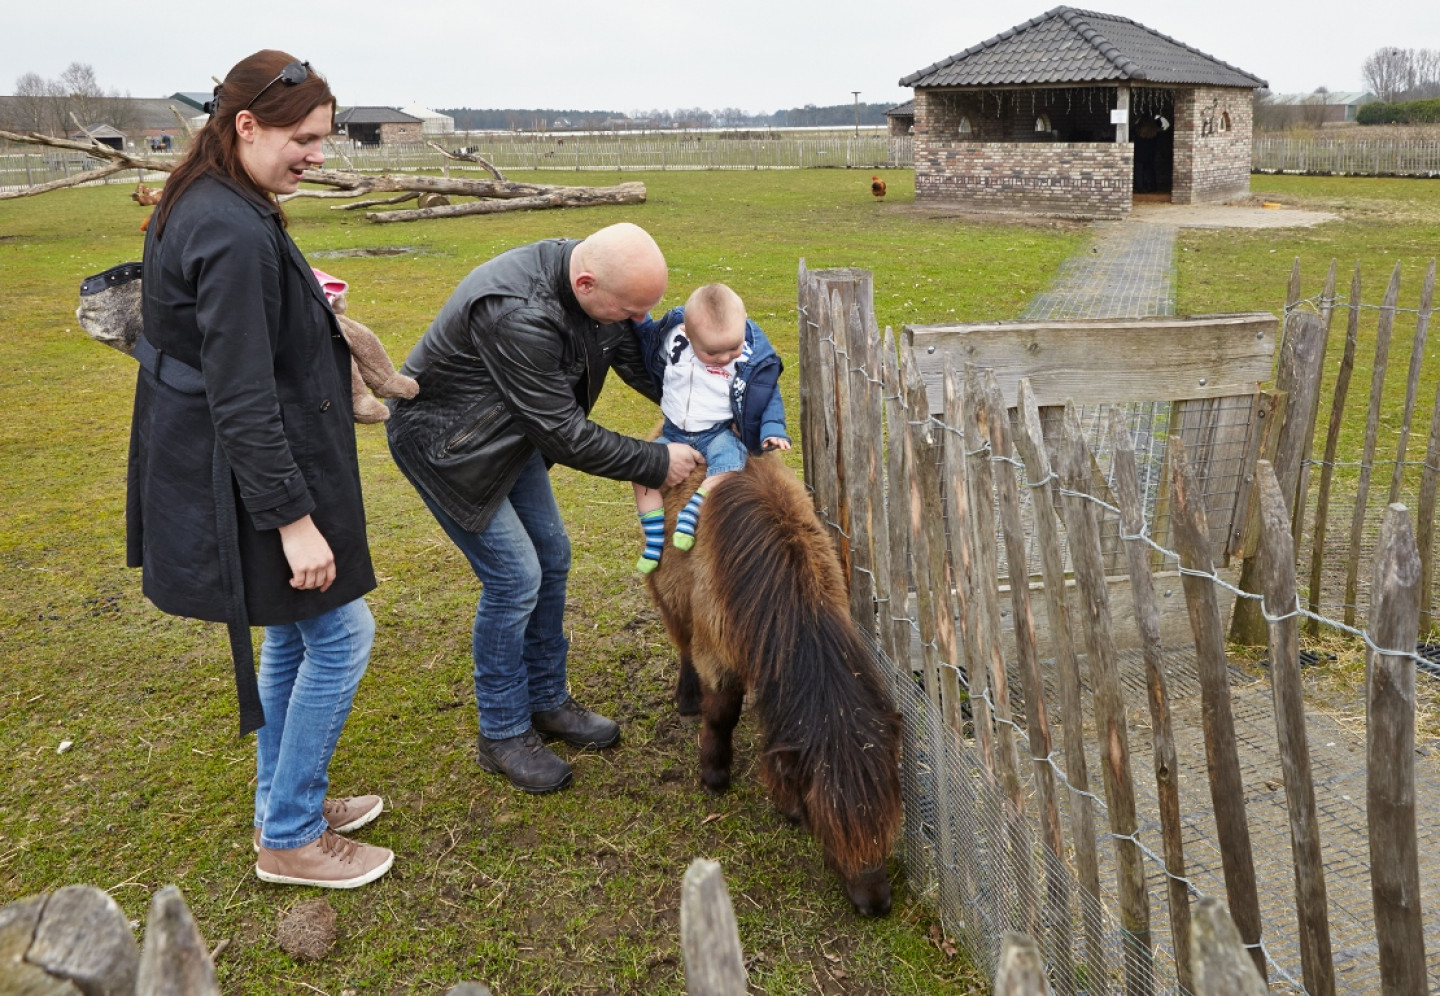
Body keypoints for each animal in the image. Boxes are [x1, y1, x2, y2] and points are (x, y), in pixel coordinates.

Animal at [650, 454, 898, 915]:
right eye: (826, 820)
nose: (875, 905)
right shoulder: (716, 651)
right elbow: (722, 714)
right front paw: (714, 774)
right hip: (668, 591)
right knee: (682, 641)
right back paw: (687, 696)